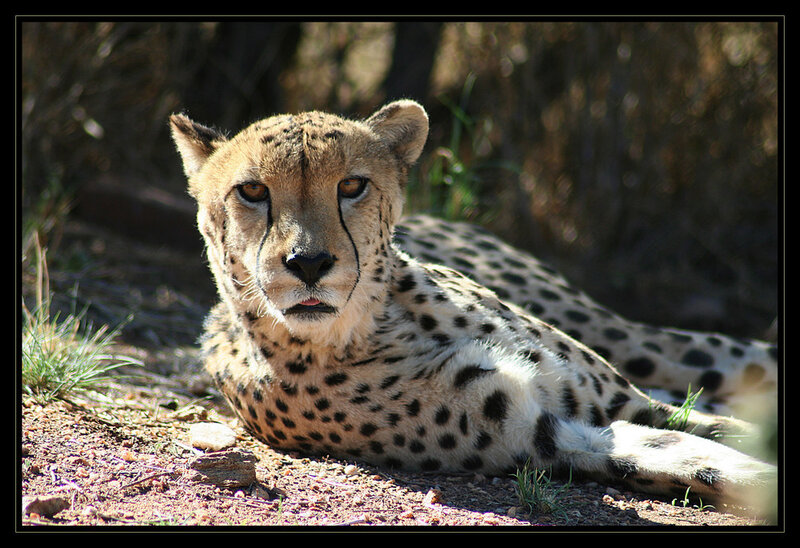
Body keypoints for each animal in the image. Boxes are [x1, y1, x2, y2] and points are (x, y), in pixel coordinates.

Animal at [170, 99, 778, 507]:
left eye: (351, 186)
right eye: (252, 191)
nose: (309, 263)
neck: (378, 323)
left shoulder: (618, 402)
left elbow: (724, 436)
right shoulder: (560, 435)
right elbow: (701, 460)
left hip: (636, 343)